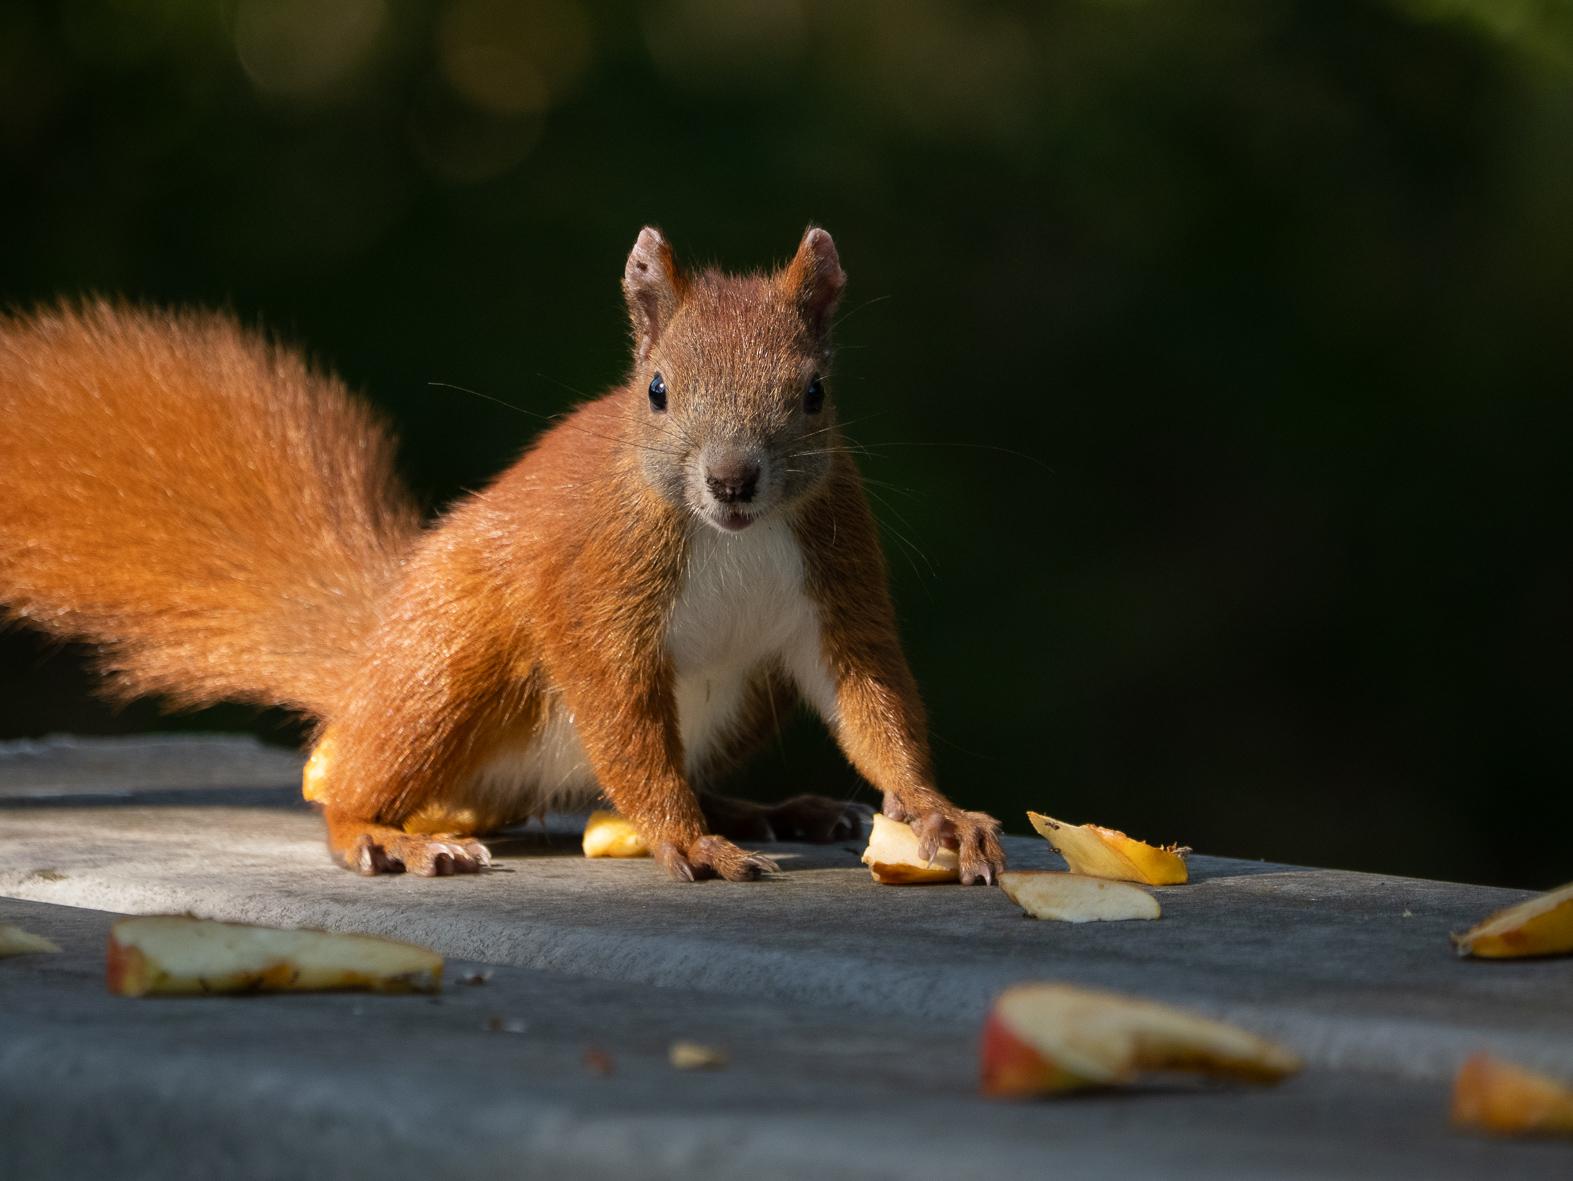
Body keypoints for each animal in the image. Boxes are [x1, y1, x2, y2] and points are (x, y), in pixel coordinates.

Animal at [0, 227, 1005, 884]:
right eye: (656, 390)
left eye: (812, 394)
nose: (731, 480)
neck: (735, 540)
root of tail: (369, 654)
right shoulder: (595, 582)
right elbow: (619, 712)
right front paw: (685, 840)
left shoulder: (837, 572)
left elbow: (871, 702)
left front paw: (937, 812)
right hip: (447, 669)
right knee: (352, 784)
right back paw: (385, 833)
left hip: (743, 697)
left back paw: (772, 810)